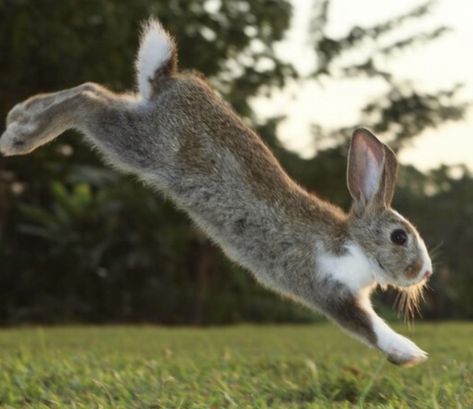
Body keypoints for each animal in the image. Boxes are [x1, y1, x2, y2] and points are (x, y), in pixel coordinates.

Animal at [0, 19, 432, 364]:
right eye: (399, 237)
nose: (425, 271)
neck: (353, 242)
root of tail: (170, 80)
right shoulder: (329, 291)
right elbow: (369, 327)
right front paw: (411, 354)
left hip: (136, 120)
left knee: (94, 89)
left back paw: (20, 115)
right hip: (139, 144)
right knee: (87, 101)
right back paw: (19, 137)